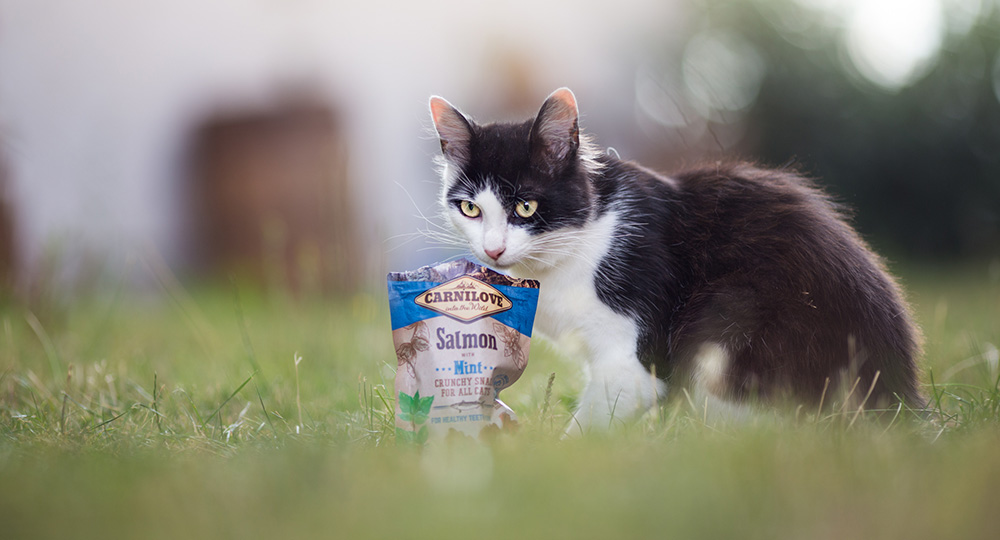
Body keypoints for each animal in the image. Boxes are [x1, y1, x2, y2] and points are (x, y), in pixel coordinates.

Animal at [426, 86, 924, 432]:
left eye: (526, 207)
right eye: (470, 209)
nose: (493, 249)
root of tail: (904, 400)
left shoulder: (634, 344)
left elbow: (605, 411)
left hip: (733, 323)